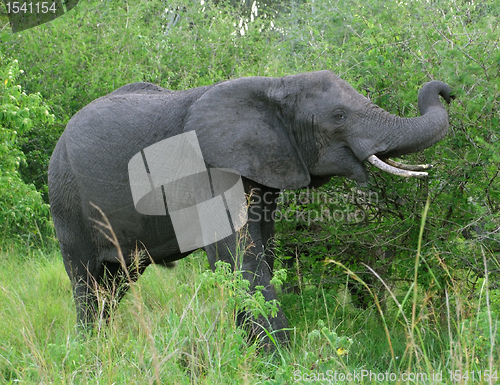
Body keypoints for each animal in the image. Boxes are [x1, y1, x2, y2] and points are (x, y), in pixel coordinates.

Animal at [47, 70, 454, 344]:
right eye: (339, 117)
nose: (446, 91)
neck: (276, 85)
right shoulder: (209, 171)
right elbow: (239, 256)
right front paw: (279, 356)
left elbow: (262, 251)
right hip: (65, 196)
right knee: (87, 280)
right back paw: (90, 348)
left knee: (115, 284)